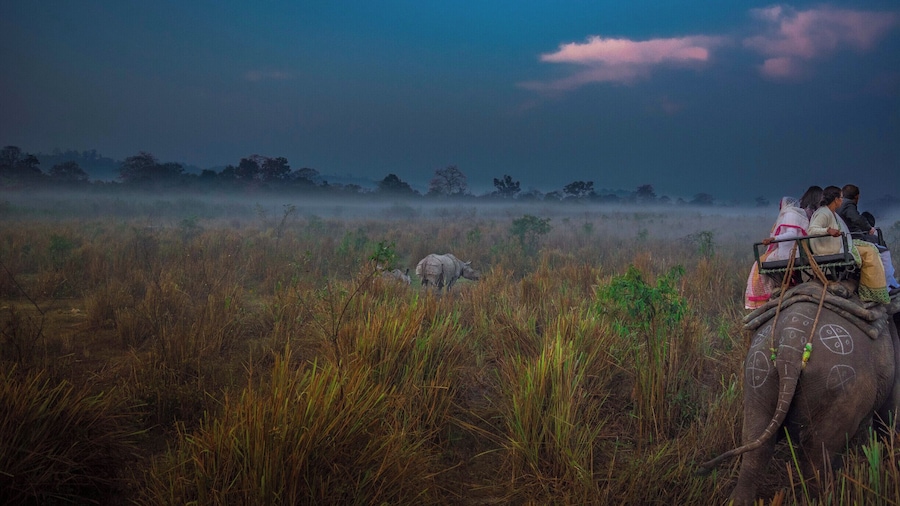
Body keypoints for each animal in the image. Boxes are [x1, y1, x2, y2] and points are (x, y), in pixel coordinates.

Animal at [698, 281, 900, 505]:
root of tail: (790, 346)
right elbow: (889, 416)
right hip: (841, 388)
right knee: (817, 456)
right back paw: (824, 497)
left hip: (756, 374)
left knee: (756, 443)